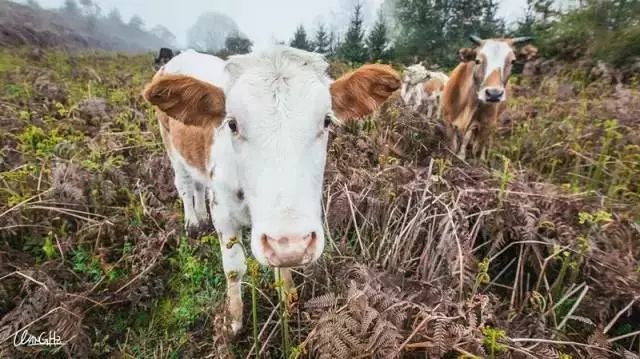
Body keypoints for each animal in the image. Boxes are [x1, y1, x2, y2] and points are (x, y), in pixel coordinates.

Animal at [144, 47, 400, 334]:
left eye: (326, 121)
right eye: (232, 124)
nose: (292, 244)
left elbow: (283, 272)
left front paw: (288, 299)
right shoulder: (222, 212)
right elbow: (234, 268)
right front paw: (233, 321)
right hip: (170, 146)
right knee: (186, 185)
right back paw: (192, 221)